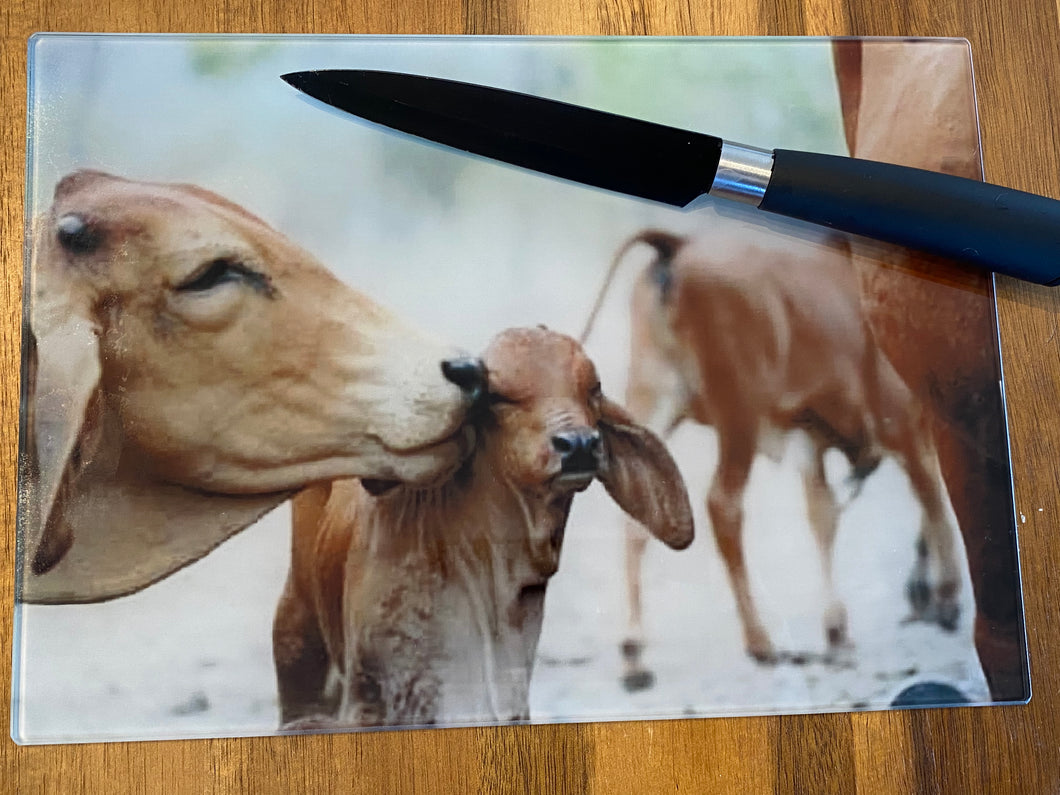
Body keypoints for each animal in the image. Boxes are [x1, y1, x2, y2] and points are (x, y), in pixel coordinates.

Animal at [614, 225, 962, 691]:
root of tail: (679, 244)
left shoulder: (809, 438)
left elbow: (823, 516)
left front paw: (838, 630)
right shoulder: (903, 423)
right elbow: (935, 501)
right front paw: (945, 597)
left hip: (653, 401)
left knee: (640, 511)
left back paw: (635, 654)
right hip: (738, 414)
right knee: (723, 505)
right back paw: (760, 642)